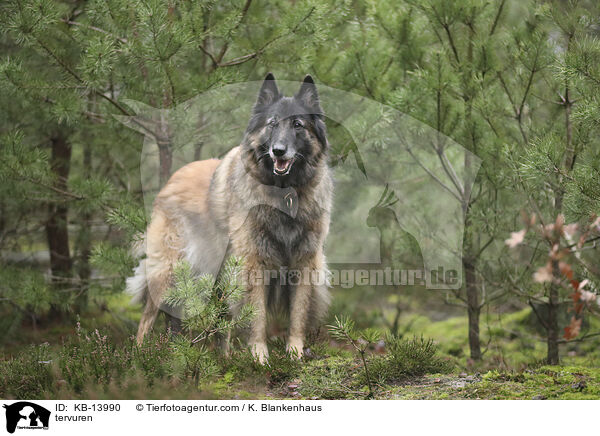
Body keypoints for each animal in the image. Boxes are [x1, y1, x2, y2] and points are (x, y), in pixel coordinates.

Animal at [127, 73, 332, 362]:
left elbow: (298, 313)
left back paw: (208, 356)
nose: (278, 151)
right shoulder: (254, 263)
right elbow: (256, 314)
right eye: (271, 124)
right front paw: (260, 357)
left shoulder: (304, 262)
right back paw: (141, 358)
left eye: (297, 125)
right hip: (170, 271)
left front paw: (295, 352)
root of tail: (170, 181)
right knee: (147, 321)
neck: (284, 195)